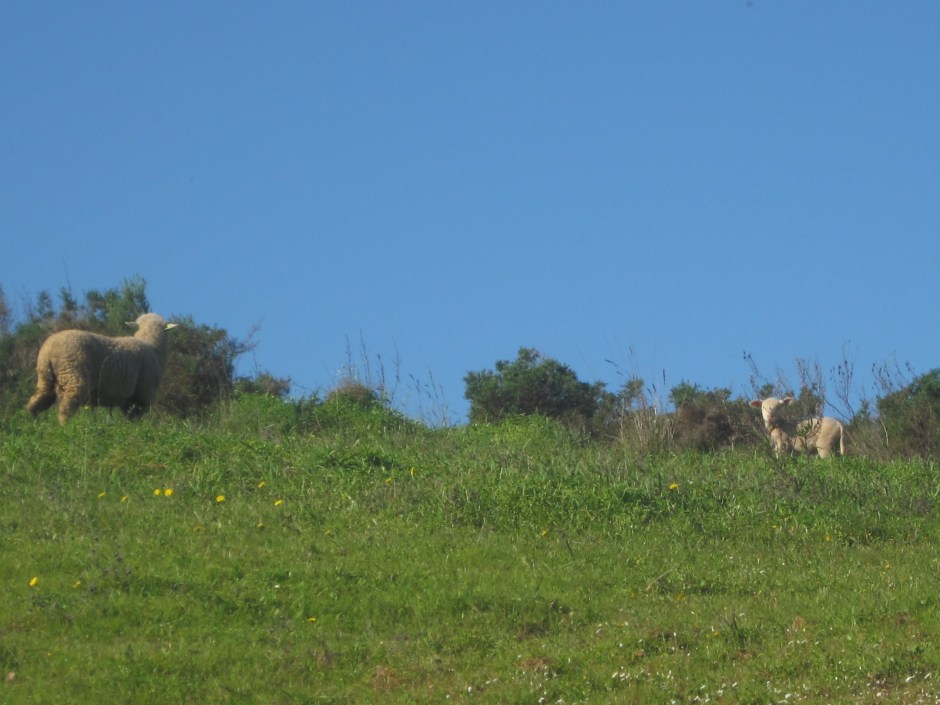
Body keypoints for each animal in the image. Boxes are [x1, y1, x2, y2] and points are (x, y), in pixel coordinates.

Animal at [27, 313, 178, 424]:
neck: (151, 346)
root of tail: (49, 348)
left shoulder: (127, 399)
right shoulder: (142, 394)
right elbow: (136, 418)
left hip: (46, 377)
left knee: (36, 402)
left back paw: (33, 424)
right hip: (74, 377)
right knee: (66, 408)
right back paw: (65, 428)